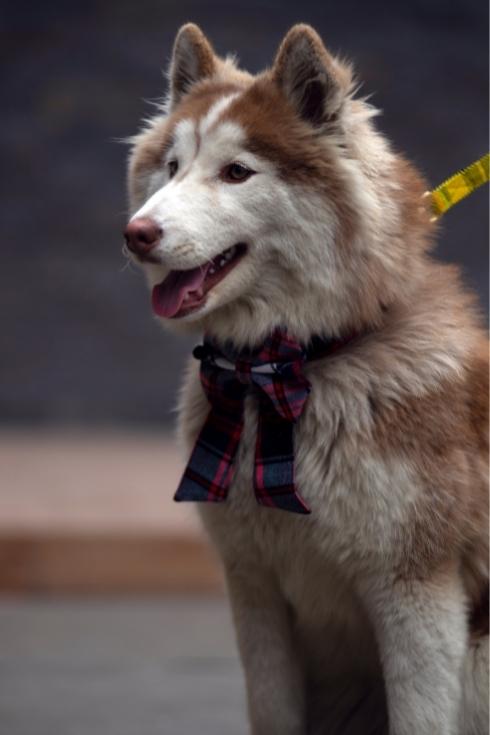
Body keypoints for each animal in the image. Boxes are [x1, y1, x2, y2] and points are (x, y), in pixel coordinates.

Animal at [124, 24, 488, 735]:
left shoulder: (416, 596)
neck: (291, 368)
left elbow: (419, 718)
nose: (136, 234)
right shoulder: (254, 587)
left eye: (237, 171)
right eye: (172, 167)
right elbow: (273, 711)